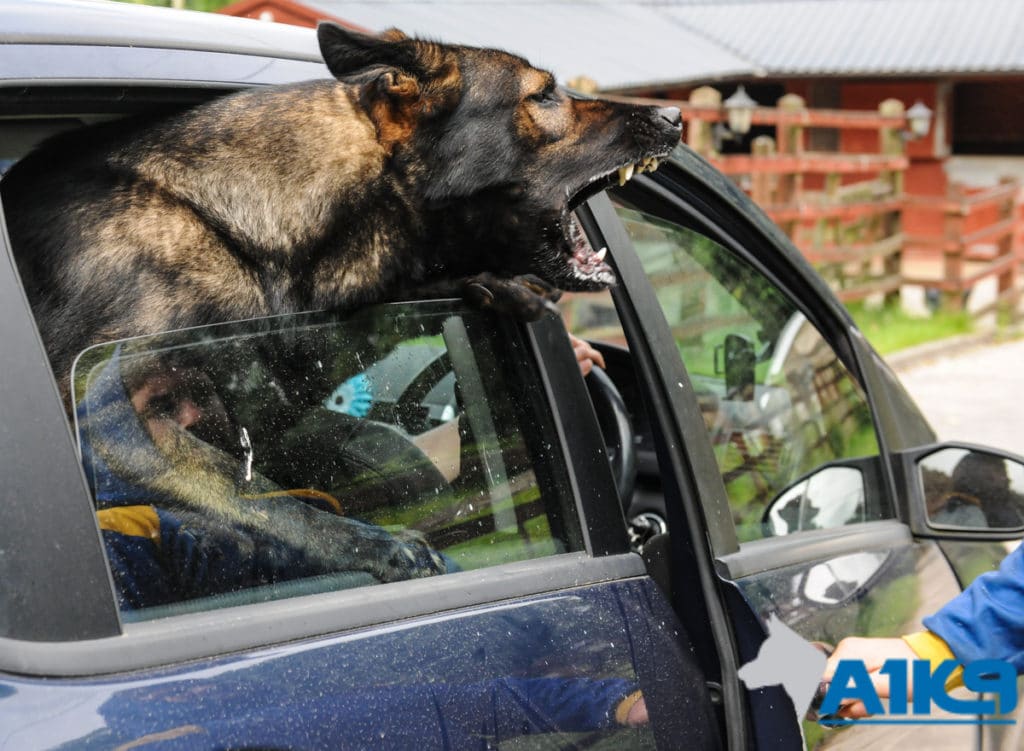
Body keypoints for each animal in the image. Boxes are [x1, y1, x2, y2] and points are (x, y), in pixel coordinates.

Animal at [6, 24, 688, 590]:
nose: (675, 113)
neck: (238, 224)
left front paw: (505, 286)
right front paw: (379, 547)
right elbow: (260, 495)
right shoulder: (109, 416)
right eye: (543, 96)